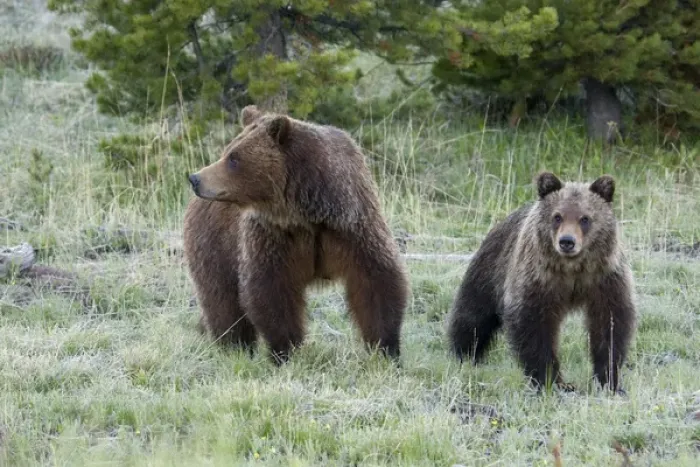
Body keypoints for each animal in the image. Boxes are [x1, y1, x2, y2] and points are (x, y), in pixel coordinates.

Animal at [183, 105, 409, 364]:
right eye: (229, 151)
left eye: (234, 157)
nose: (195, 178)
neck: (307, 213)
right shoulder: (273, 236)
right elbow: (270, 290)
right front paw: (285, 351)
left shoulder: (352, 227)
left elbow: (377, 280)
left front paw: (387, 348)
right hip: (216, 245)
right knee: (222, 301)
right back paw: (233, 345)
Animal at [447, 172, 636, 394]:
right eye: (557, 216)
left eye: (585, 218)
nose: (567, 241)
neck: (572, 269)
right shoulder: (538, 280)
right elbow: (533, 326)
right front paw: (552, 380)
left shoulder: (604, 279)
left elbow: (610, 324)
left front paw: (609, 379)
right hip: (490, 269)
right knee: (473, 314)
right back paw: (464, 354)